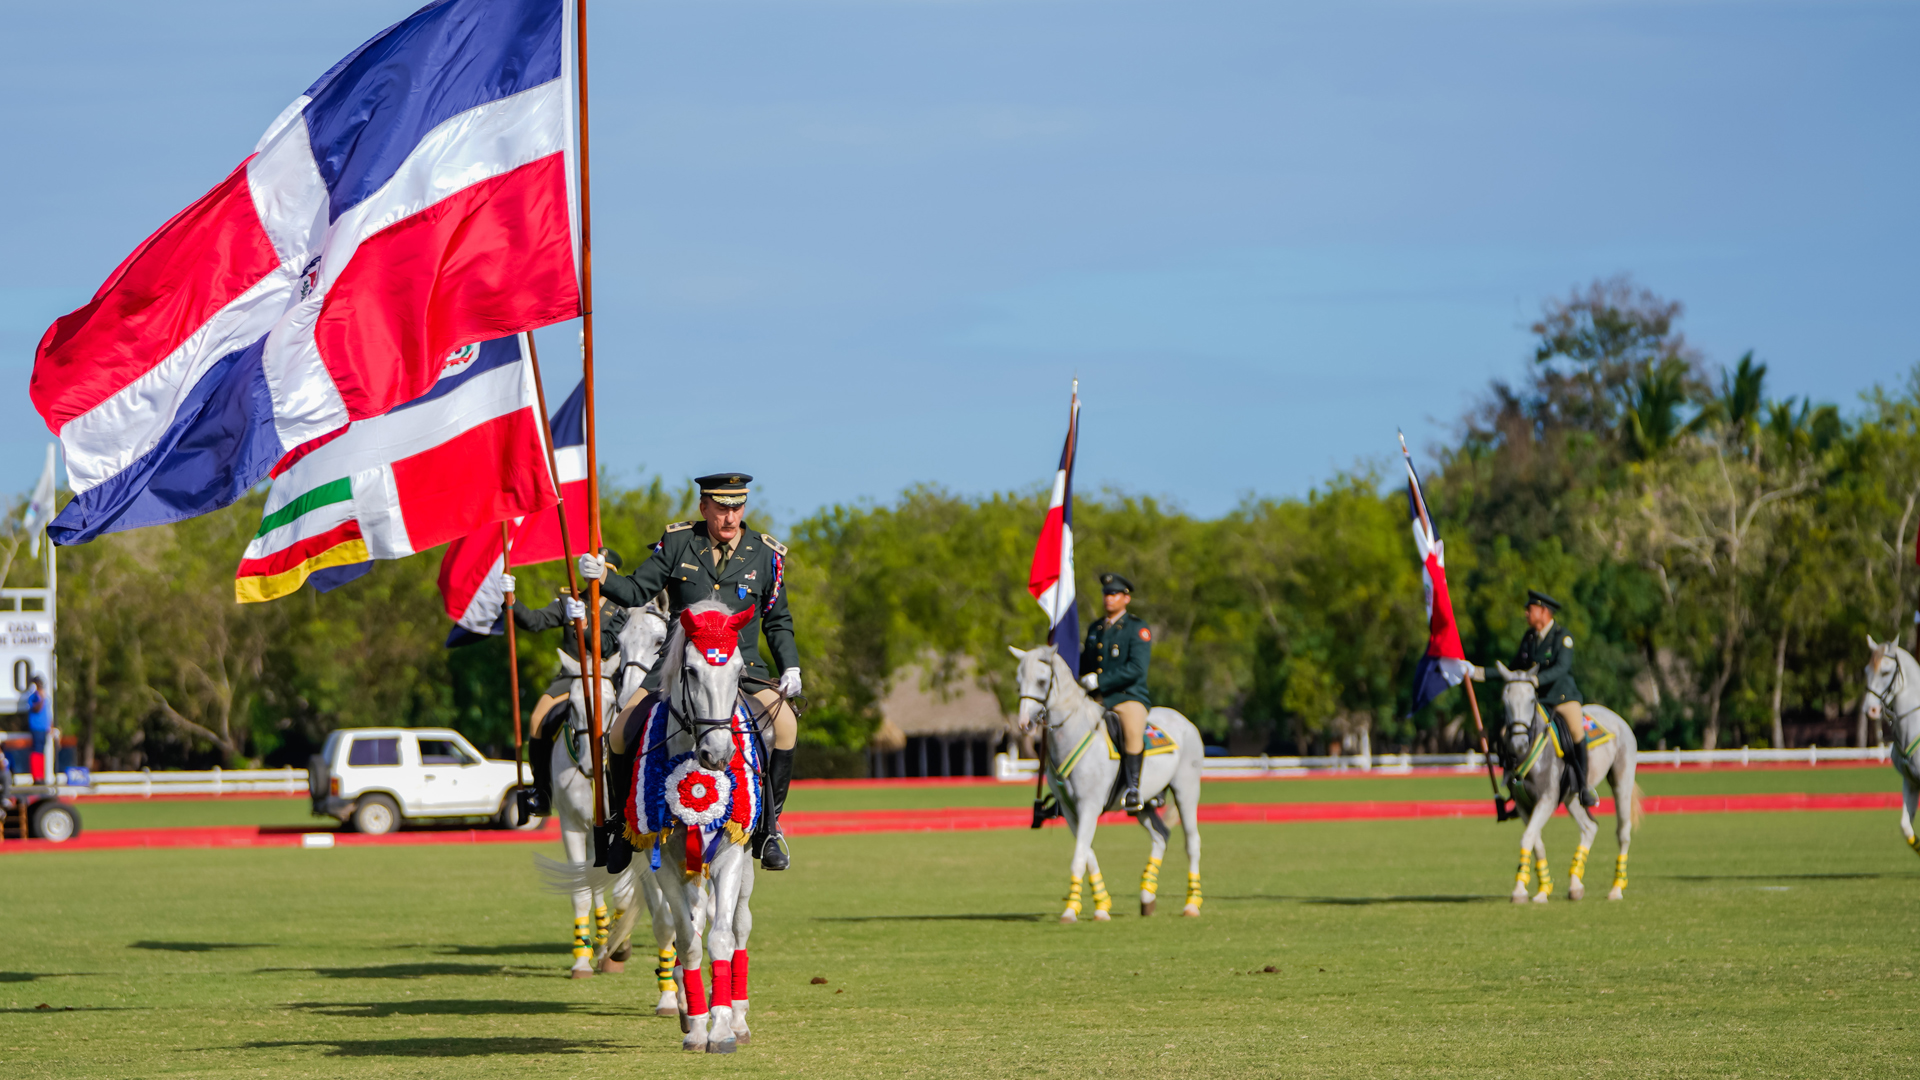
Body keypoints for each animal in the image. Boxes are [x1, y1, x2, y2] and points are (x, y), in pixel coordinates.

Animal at [1006, 641, 1198, 922]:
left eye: (1042, 681)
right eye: (1018, 681)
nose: (1023, 723)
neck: (1073, 734)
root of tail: (1185, 721)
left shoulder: (1089, 806)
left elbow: (1079, 857)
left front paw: (1070, 911)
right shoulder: (1072, 811)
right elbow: (1087, 854)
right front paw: (1101, 906)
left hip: (1186, 791)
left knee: (1192, 842)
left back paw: (1192, 904)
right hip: (1143, 806)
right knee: (1161, 835)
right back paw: (1147, 897)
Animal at [1489, 657, 1643, 899]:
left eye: (1532, 699)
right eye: (1505, 700)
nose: (1518, 744)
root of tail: (1617, 717)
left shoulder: (1547, 799)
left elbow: (1528, 837)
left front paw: (1520, 889)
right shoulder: (1524, 805)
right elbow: (1535, 841)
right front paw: (1541, 889)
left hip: (1622, 780)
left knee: (1623, 832)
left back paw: (1616, 888)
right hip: (1573, 796)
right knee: (1589, 827)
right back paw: (1575, 884)